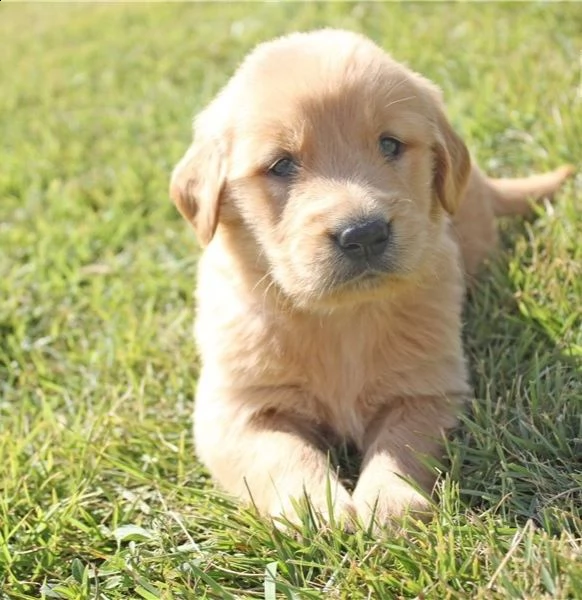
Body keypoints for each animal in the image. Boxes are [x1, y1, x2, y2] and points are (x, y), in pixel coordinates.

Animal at [170, 30, 576, 528]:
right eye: (281, 165)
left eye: (390, 145)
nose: (363, 234)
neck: (342, 319)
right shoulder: (236, 410)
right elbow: (282, 455)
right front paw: (315, 507)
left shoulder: (427, 390)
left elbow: (402, 445)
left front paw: (387, 503)